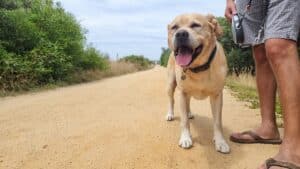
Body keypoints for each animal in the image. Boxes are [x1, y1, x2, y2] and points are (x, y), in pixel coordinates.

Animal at [166, 13, 230, 153]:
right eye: (174, 27)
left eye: (195, 25)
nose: (180, 34)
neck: (198, 68)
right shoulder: (182, 93)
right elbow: (184, 121)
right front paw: (185, 138)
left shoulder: (217, 95)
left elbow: (218, 122)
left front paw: (220, 141)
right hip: (170, 85)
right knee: (171, 101)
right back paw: (170, 114)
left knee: (188, 104)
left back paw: (189, 113)